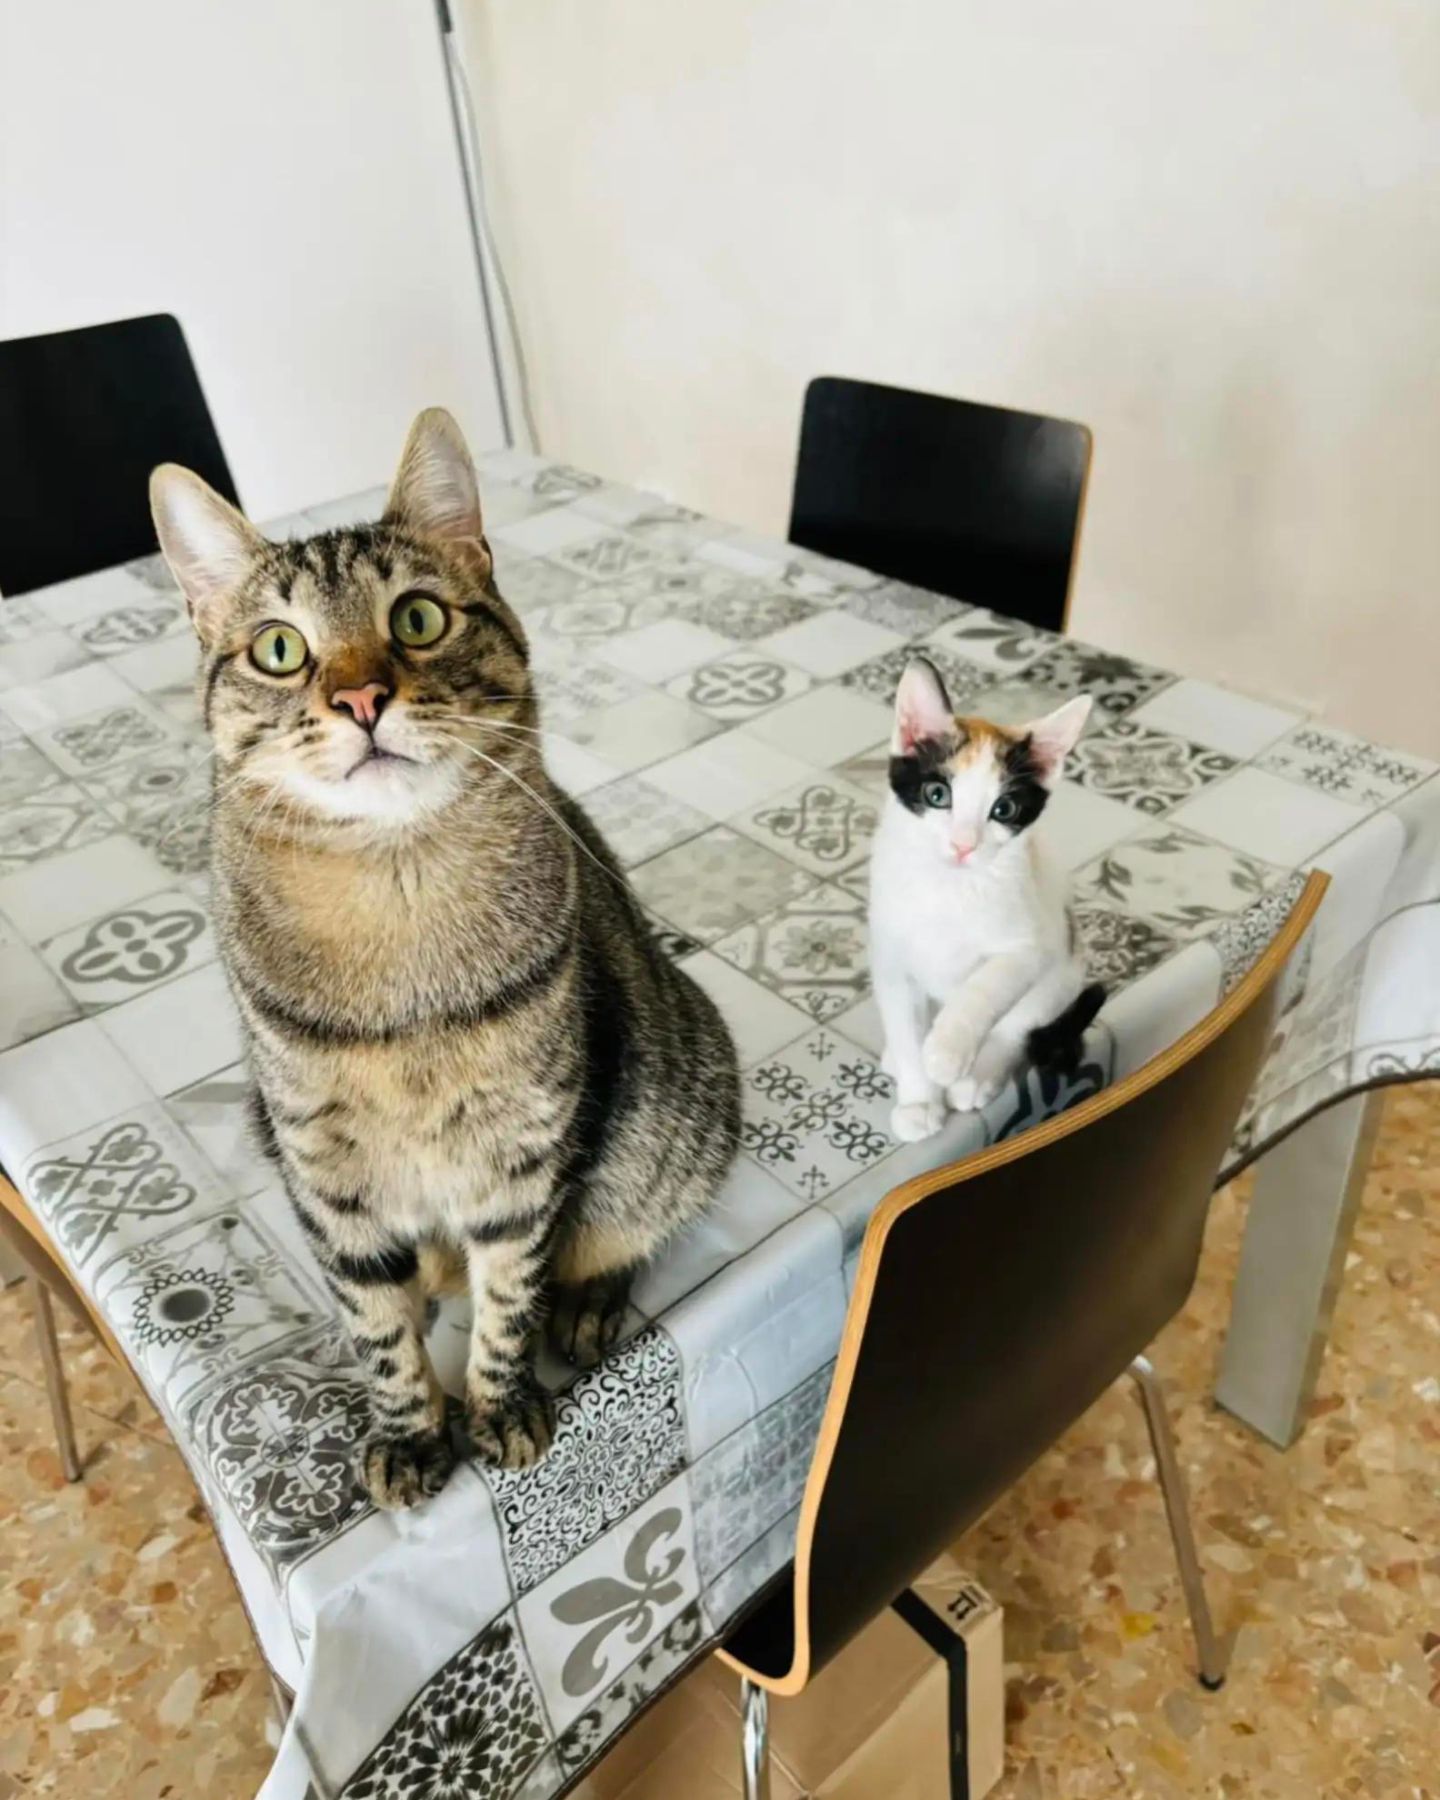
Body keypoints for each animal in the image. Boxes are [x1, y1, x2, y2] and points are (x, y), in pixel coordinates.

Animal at [153, 405, 741, 1504]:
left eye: (419, 619)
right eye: (280, 649)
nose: (360, 698)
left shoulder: (525, 1158)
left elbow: (509, 1294)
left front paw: (499, 1403)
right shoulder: (324, 1166)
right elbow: (375, 1325)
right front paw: (412, 1429)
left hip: (668, 1117)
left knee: (620, 1231)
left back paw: (587, 1304)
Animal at [867, 658, 1101, 1137]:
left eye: (1003, 810)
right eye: (937, 795)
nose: (963, 845)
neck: (947, 886)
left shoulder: (1027, 946)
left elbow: (983, 989)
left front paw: (946, 1052)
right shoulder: (890, 958)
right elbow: (903, 1022)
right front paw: (919, 1100)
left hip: (1063, 969)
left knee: (1018, 1025)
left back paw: (979, 1075)